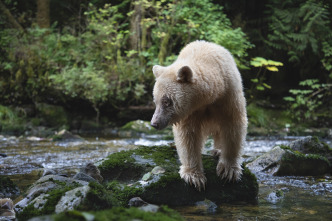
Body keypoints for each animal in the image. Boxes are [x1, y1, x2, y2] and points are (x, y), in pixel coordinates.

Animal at [150, 39, 246, 190]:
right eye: (156, 100)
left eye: (166, 101)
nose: (154, 123)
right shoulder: (190, 112)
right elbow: (188, 136)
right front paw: (195, 177)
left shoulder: (228, 94)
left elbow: (233, 125)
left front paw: (228, 170)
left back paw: (218, 150)